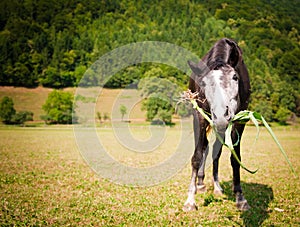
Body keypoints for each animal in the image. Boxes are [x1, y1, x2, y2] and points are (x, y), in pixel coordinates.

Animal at [183, 37, 251, 211]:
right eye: (204, 83)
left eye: (235, 77)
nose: (221, 116)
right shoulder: (200, 116)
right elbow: (197, 155)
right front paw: (190, 200)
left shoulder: (240, 120)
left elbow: (235, 158)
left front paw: (240, 198)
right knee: (205, 147)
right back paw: (200, 183)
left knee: (215, 151)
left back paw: (217, 187)